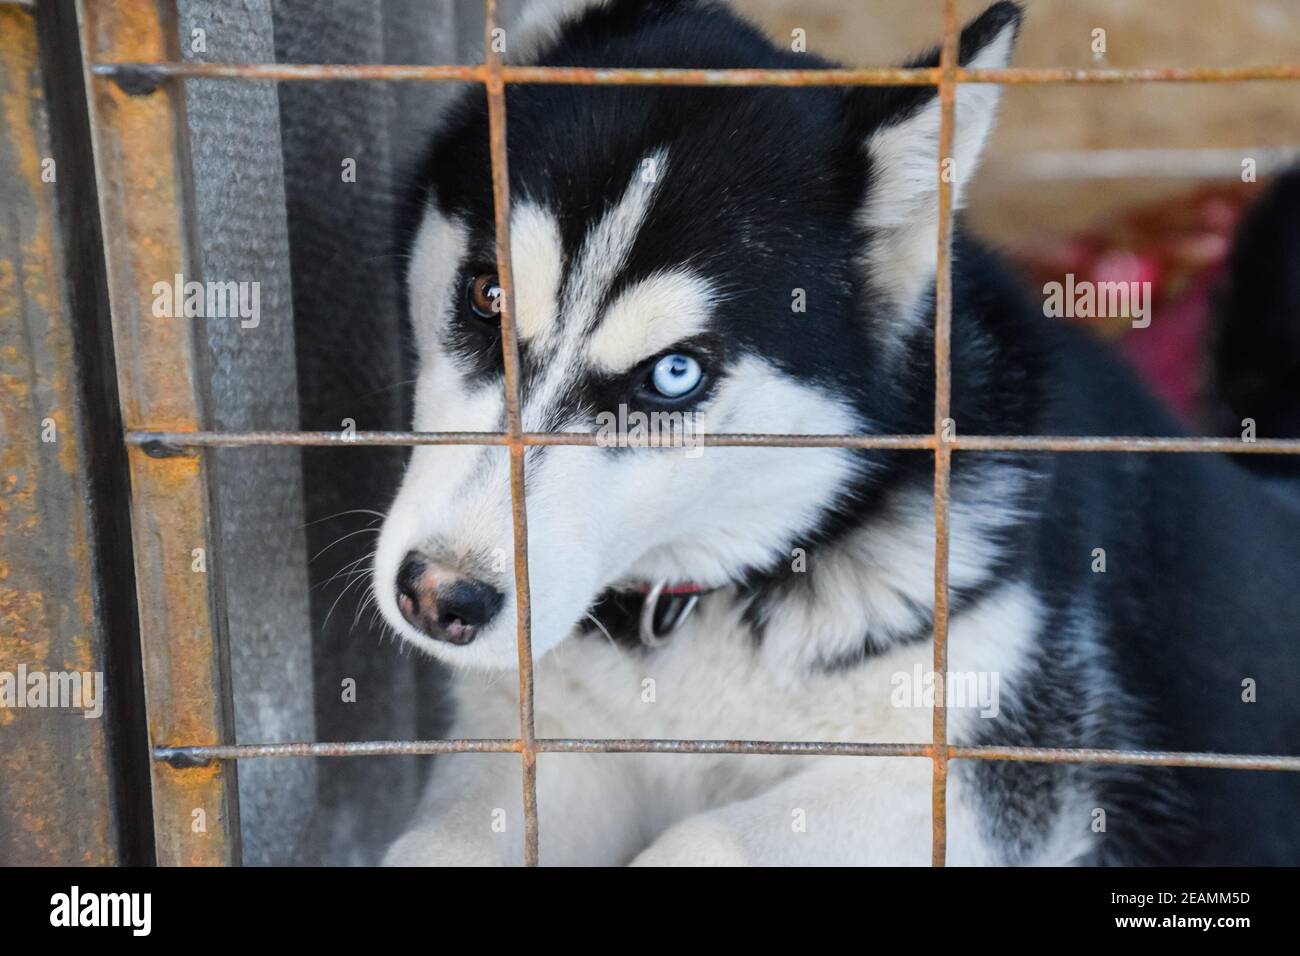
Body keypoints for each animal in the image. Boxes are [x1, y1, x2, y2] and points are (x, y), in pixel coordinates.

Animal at [371, 1, 1300, 868]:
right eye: (487, 296)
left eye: (674, 374)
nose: (441, 595)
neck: (707, 603)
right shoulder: (547, 741)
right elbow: (437, 845)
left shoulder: (985, 769)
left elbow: (704, 839)